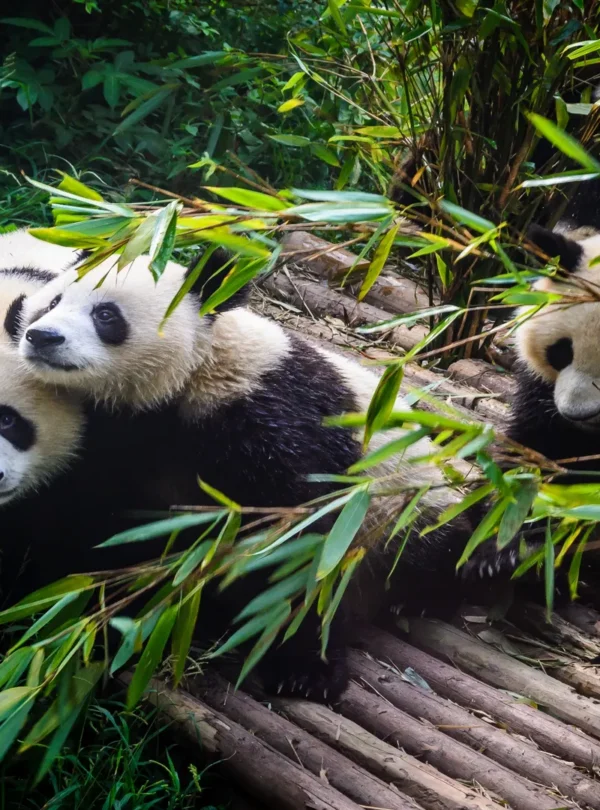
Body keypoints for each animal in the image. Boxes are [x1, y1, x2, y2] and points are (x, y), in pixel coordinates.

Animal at [14, 245, 473, 702]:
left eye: (106, 315)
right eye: (51, 302)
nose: (42, 336)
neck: (192, 375)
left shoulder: (272, 418)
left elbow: (298, 541)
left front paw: (305, 670)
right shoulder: (119, 441)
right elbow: (96, 520)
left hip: (409, 499)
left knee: (438, 544)